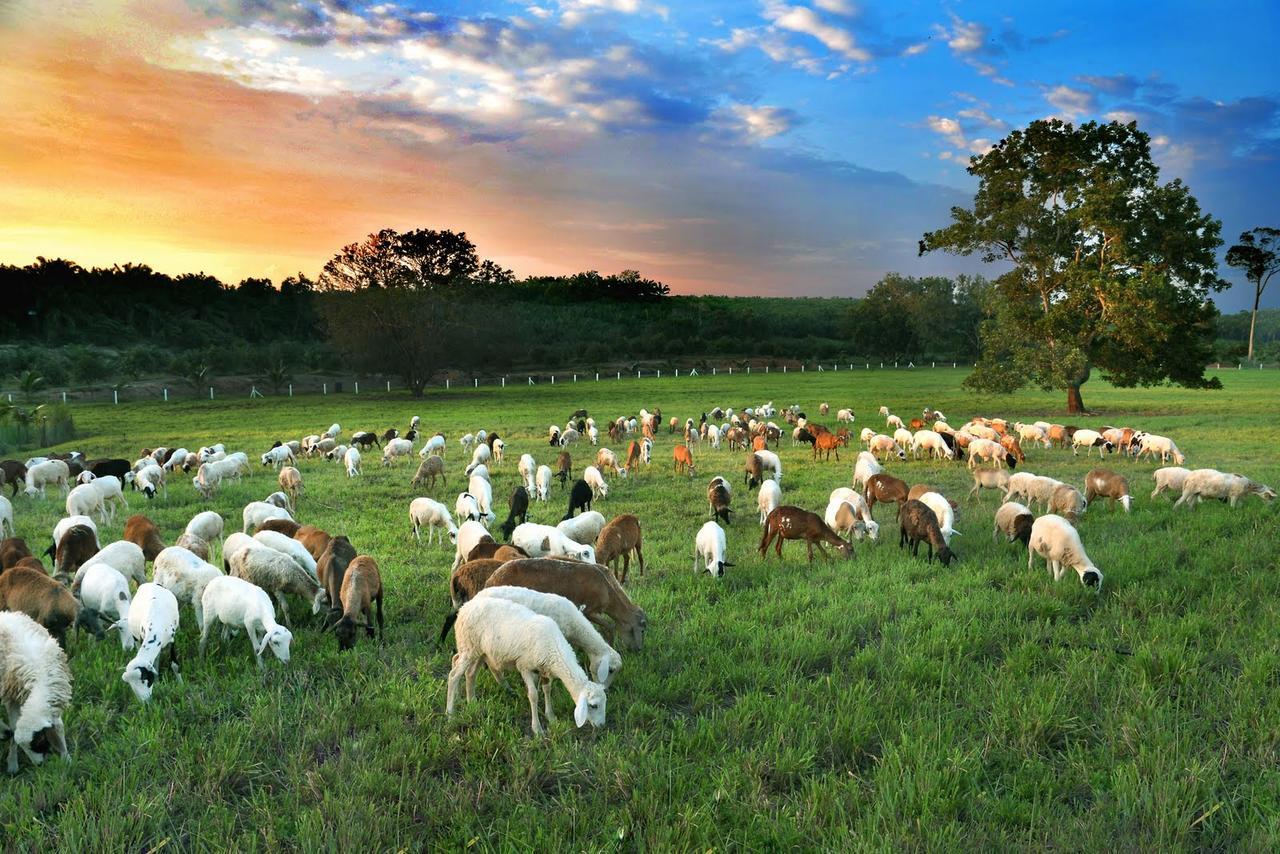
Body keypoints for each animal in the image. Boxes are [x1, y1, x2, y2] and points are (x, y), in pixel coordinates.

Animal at [0, 612, 72, 778]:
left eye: (38, 742)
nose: (39, 765)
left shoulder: (52, 702)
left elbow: (59, 727)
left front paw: (66, 758)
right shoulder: (12, 698)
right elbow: (13, 728)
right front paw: (12, 763)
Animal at [445, 594, 609, 737]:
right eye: (593, 706)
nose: (602, 726)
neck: (553, 647)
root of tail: (464, 607)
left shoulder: (544, 669)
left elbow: (547, 689)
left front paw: (551, 716)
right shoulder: (524, 666)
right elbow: (533, 695)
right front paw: (537, 729)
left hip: (479, 651)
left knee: (469, 672)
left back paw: (472, 703)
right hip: (468, 646)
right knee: (454, 675)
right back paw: (450, 713)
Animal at [481, 558, 650, 650]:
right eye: (642, 629)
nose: (639, 650)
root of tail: (490, 580)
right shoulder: (589, 610)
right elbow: (610, 627)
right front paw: (609, 645)